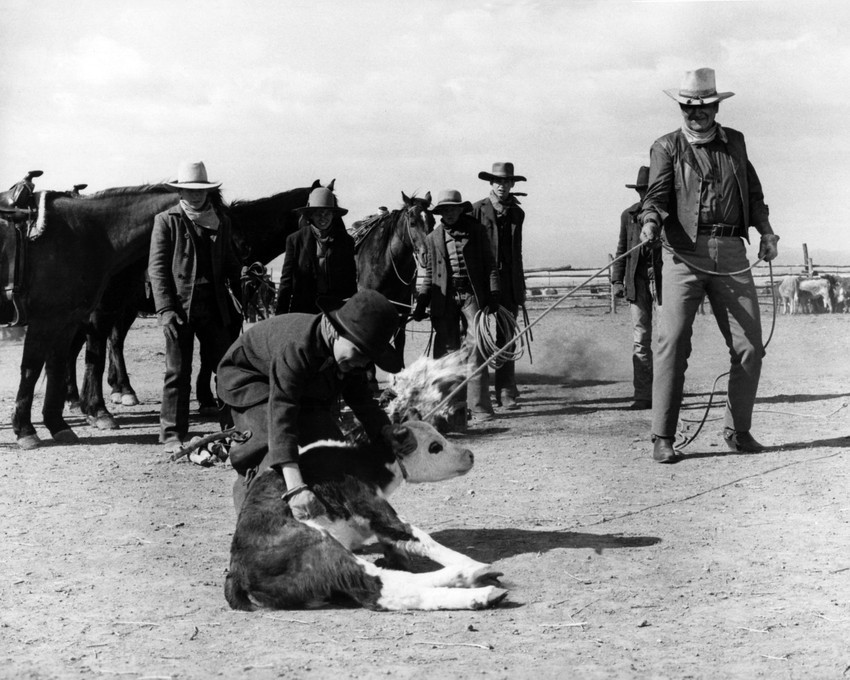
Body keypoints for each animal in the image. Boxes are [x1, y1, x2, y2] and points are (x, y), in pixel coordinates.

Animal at [60, 182, 322, 430]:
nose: (243, 247)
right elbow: (209, 354)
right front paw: (209, 398)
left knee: (106, 343)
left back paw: (109, 392)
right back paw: (86, 399)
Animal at [222, 420, 506, 612]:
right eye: (435, 447)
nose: (470, 454)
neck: (361, 458)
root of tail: (236, 570)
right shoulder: (371, 504)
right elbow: (417, 536)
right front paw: (467, 560)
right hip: (319, 546)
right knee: (379, 587)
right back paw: (475, 580)